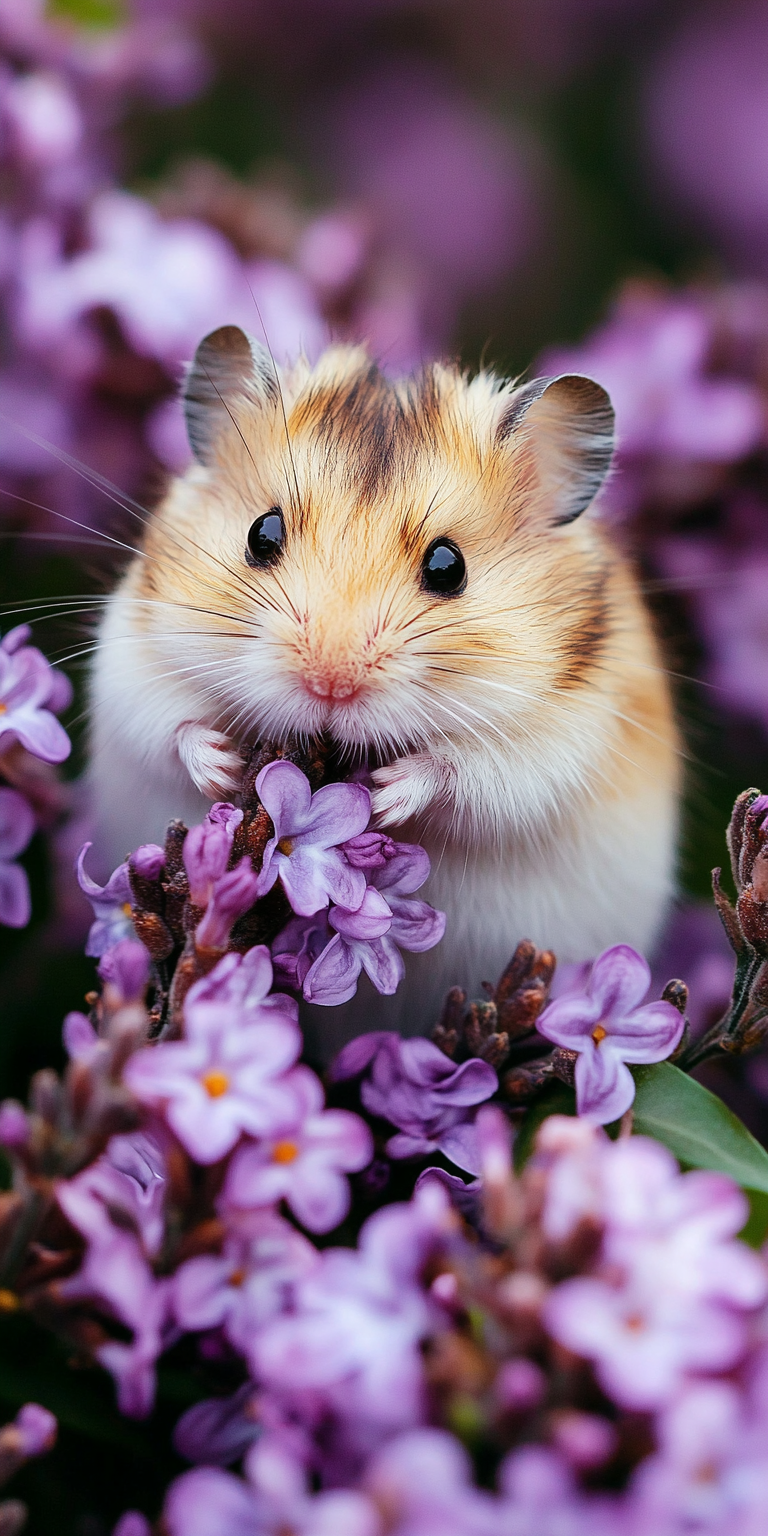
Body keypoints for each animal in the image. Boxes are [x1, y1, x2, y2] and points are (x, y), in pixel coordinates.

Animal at [89, 324, 678, 1056]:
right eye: (261, 533)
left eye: (448, 567)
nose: (330, 685)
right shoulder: (131, 660)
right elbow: (169, 725)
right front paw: (222, 768)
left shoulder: (563, 733)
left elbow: (468, 773)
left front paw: (384, 795)